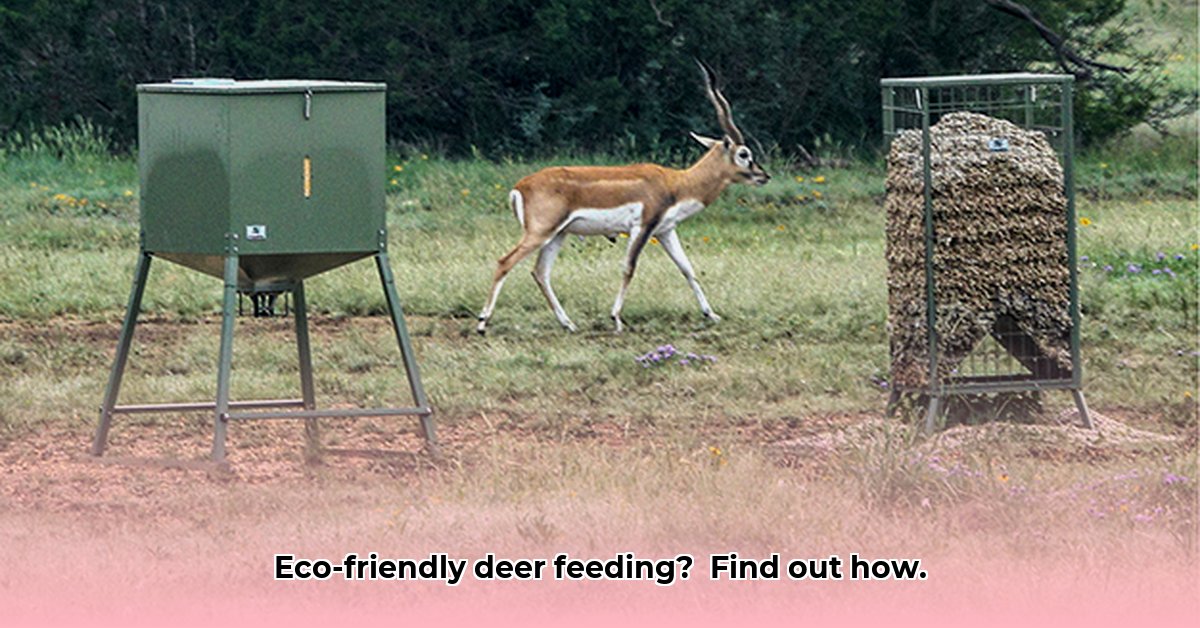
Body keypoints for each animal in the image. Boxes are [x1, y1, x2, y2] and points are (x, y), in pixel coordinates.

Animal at [476, 60, 770, 334]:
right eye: (744, 153)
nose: (763, 175)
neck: (676, 183)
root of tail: (520, 186)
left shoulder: (665, 230)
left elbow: (687, 268)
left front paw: (711, 314)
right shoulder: (642, 227)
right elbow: (629, 267)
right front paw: (616, 318)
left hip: (557, 234)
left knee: (540, 272)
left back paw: (568, 324)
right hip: (540, 232)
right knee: (505, 262)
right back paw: (482, 322)